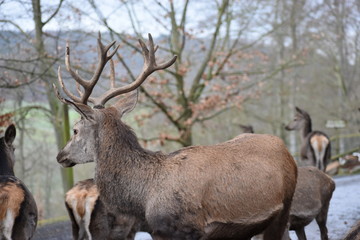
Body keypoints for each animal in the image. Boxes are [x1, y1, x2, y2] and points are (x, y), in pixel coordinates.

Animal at [54, 32, 298, 239]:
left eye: (75, 129)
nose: (60, 155)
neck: (145, 196)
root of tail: (286, 151)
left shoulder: (187, 229)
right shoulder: (158, 232)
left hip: (284, 210)